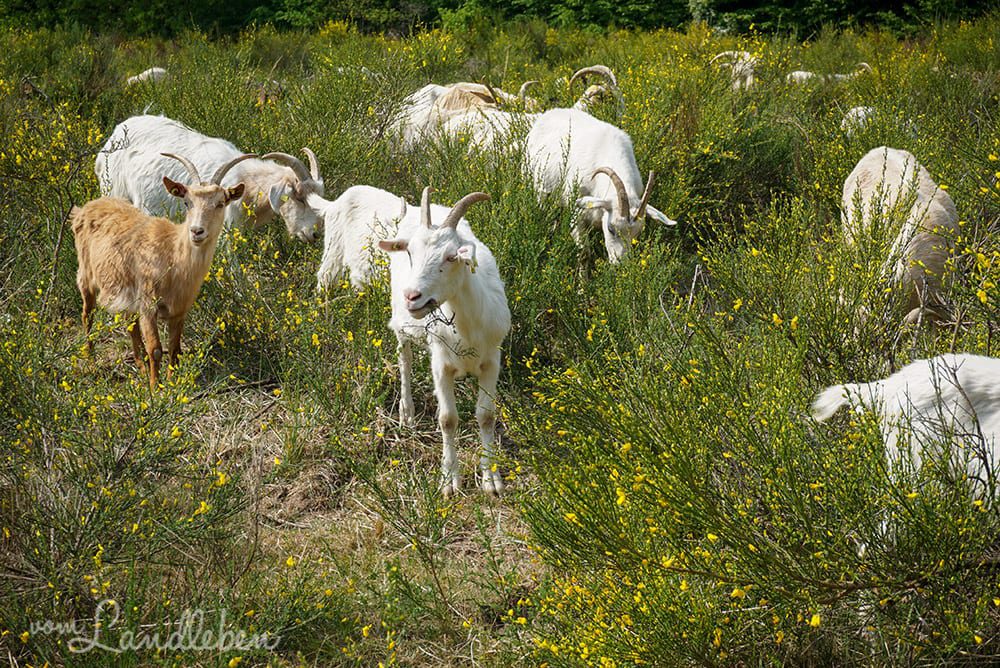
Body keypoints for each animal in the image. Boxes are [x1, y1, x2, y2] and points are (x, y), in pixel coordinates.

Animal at [72, 153, 252, 391]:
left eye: (220, 203)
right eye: (187, 202)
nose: (197, 231)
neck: (173, 256)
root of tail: (85, 208)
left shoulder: (179, 310)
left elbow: (174, 349)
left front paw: (171, 383)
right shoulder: (148, 305)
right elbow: (156, 349)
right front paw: (155, 389)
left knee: (130, 325)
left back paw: (139, 367)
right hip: (86, 276)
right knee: (87, 315)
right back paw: (92, 361)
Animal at [378, 187, 510, 496]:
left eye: (451, 257)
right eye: (410, 252)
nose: (412, 296)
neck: (467, 325)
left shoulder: (492, 360)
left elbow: (486, 415)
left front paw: (491, 479)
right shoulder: (441, 364)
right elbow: (448, 419)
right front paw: (449, 479)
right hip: (400, 322)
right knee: (405, 359)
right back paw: (407, 413)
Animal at [525, 108, 677, 263]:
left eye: (636, 233)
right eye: (610, 228)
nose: (619, 263)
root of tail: (550, 112)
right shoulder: (577, 214)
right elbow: (584, 253)